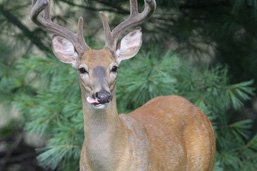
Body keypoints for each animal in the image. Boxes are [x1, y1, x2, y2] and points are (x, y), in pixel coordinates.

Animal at [30, 0, 215, 170]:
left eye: (114, 67)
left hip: (207, 163)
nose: (103, 95)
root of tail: (199, 111)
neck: (111, 164)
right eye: (82, 69)